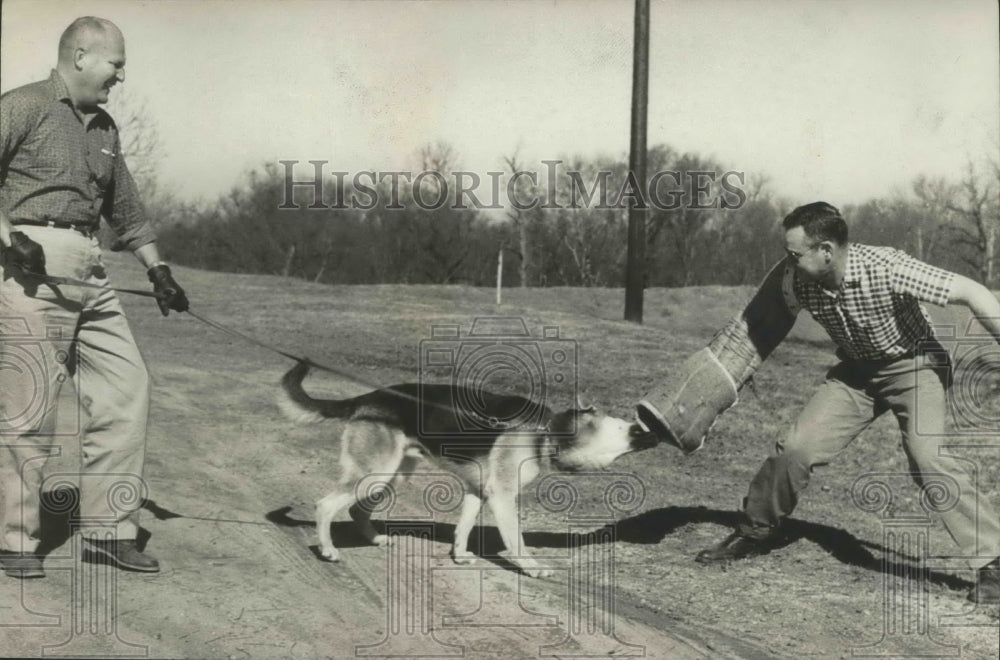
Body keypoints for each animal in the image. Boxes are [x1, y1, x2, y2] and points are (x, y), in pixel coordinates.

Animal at [280, 360, 656, 576]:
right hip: (374, 474)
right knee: (325, 506)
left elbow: (463, 528)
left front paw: (459, 556)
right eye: (623, 426)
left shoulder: (478, 492)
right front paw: (532, 567)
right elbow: (516, 541)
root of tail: (368, 398)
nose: (649, 432)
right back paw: (328, 550)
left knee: (356, 510)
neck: (545, 432)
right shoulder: (502, 496)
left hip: (390, 475)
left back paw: (374, 539)